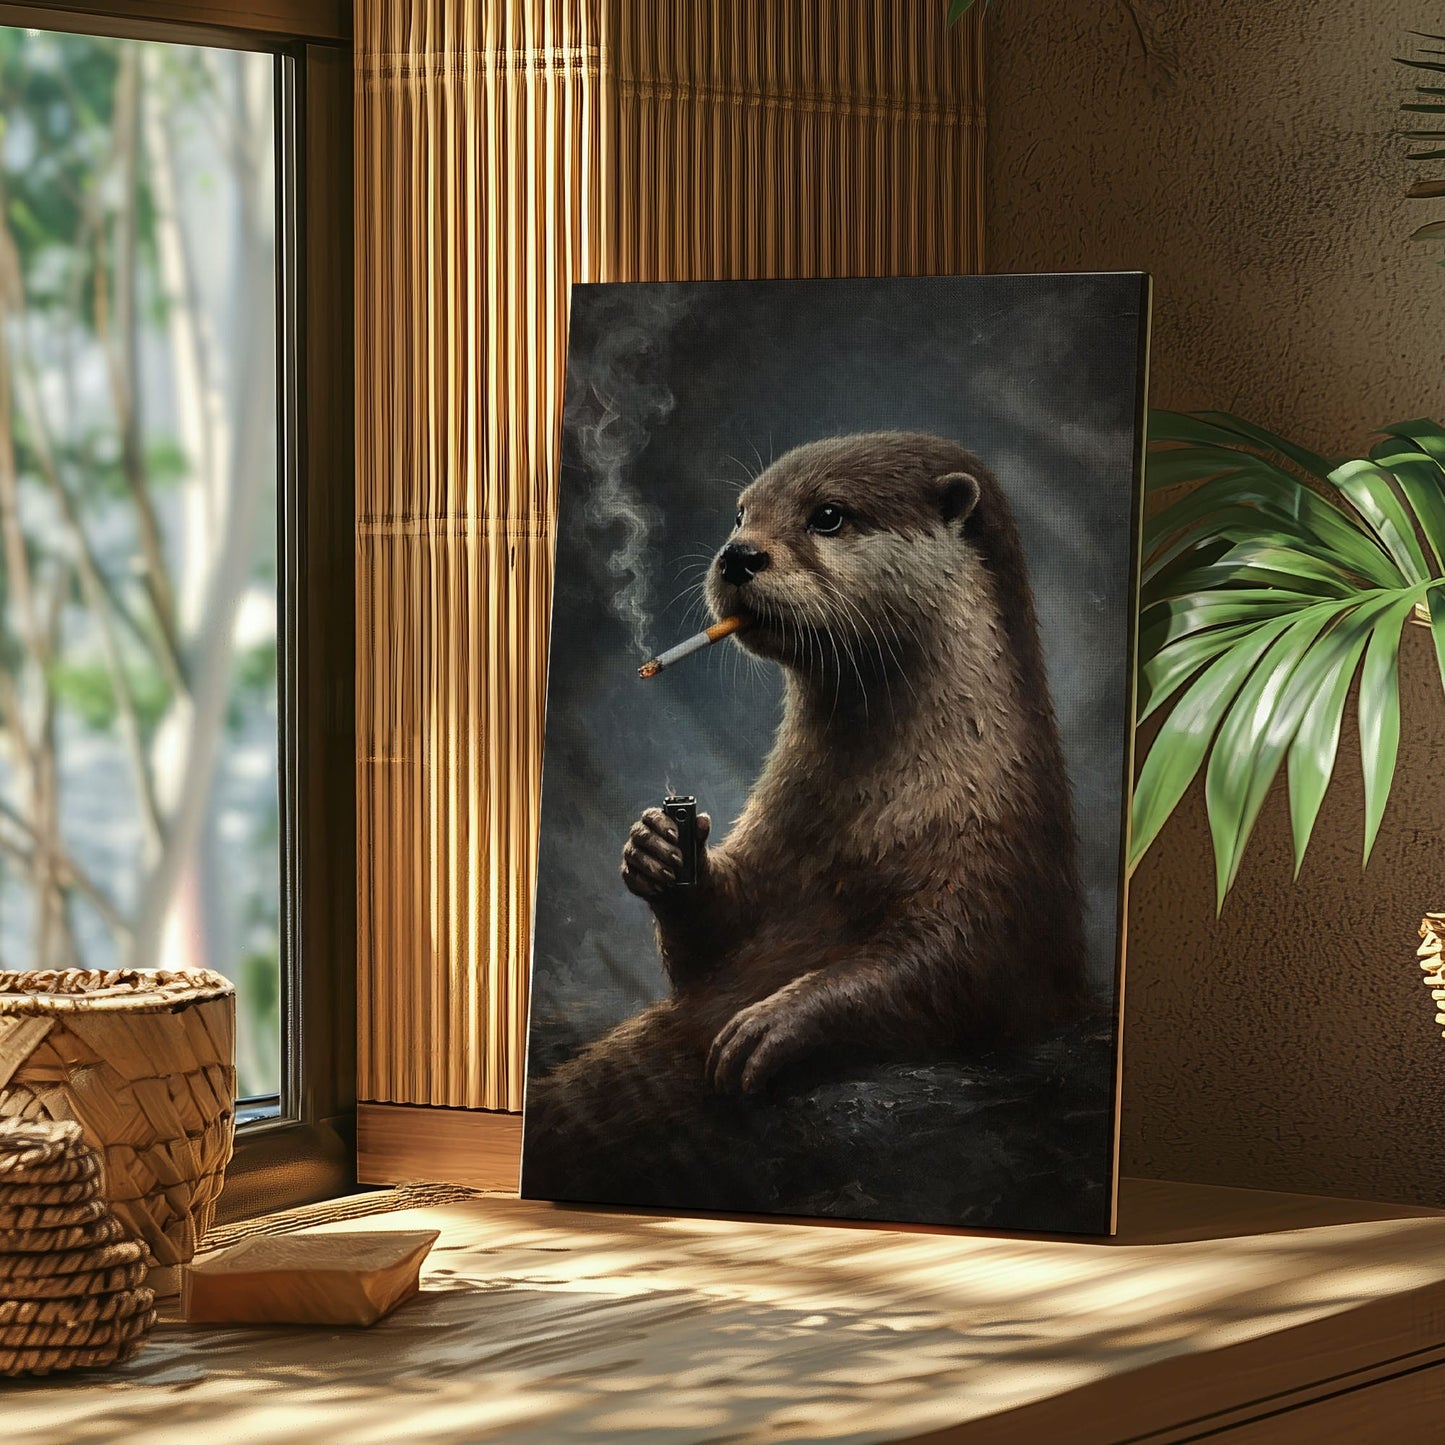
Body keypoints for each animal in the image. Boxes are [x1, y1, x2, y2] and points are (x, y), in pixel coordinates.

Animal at [522, 430, 1090, 1210]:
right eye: (740, 513)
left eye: (827, 515)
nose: (738, 555)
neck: (872, 815)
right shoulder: (776, 843)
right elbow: (711, 958)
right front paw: (661, 849)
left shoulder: (997, 869)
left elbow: (955, 971)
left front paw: (775, 1019)